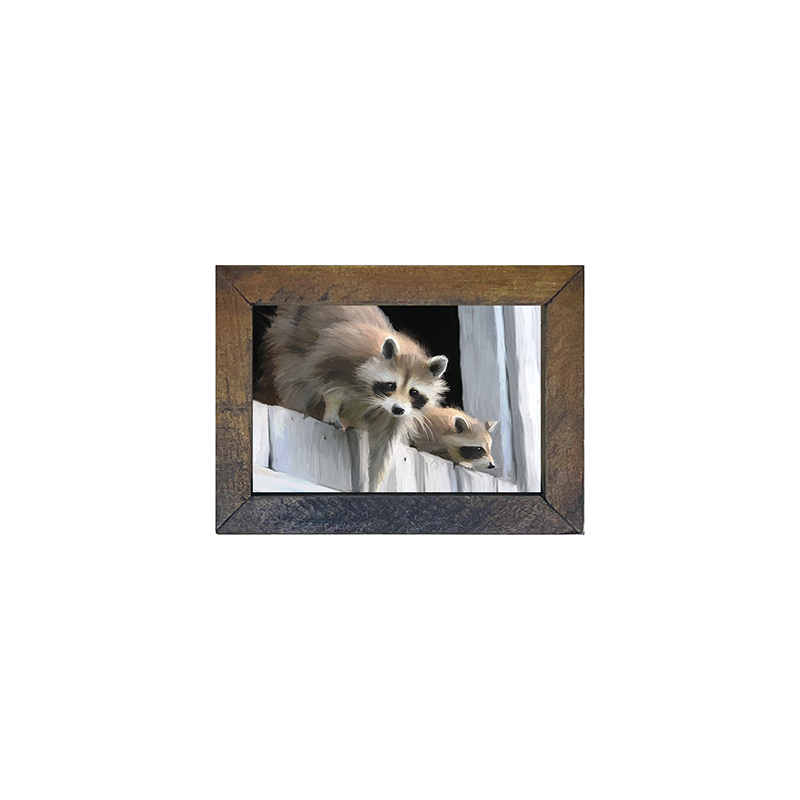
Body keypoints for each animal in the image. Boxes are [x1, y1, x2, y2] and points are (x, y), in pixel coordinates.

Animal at [260, 306, 449, 492]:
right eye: (391, 386)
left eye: (414, 392)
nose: (398, 409)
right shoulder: (341, 354)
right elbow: (331, 385)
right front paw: (332, 409)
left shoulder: (393, 416)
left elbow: (382, 447)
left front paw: (374, 483)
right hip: (287, 348)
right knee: (297, 386)